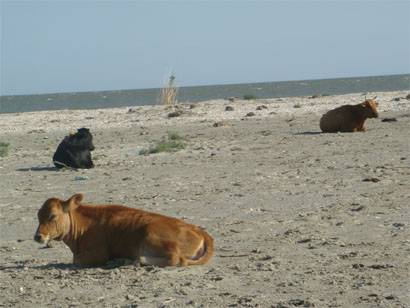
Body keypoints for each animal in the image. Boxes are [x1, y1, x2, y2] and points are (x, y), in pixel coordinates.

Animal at [33, 192, 213, 268]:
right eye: (38, 215)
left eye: (53, 215)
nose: (38, 236)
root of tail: (201, 231)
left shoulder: (98, 253)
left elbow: (76, 261)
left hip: (152, 235)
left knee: (176, 259)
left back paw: (135, 260)